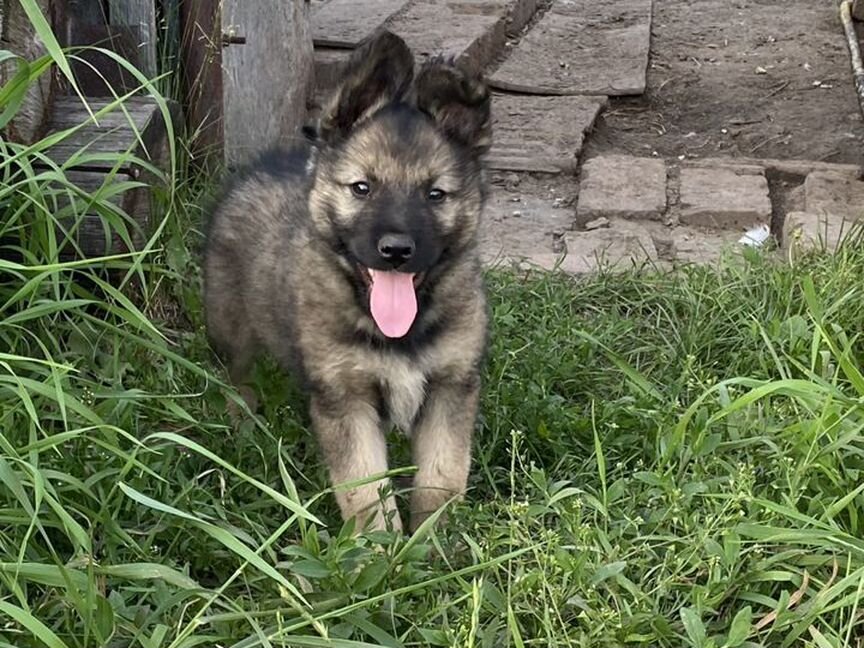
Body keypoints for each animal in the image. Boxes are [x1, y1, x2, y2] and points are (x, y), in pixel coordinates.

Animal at [199, 29, 490, 532]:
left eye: (435, 194)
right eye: (362, 188)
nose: (396, 250)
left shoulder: (451, 386)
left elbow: (442, 475)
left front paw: (435, 541)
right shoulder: (345, 397)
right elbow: (365, 488)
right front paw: (380, 547)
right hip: (231, 325)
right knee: (235, 374)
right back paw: (243, 422)